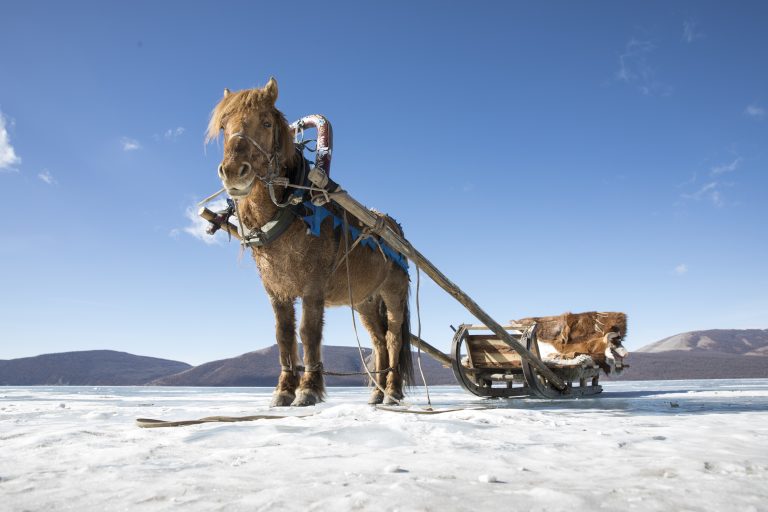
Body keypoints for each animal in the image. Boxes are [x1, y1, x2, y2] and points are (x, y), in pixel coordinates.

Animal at [206, 78, 412, 406]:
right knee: (378, 340)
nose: (233, 172)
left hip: (393, 292)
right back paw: (377, 394)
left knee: (393, 337)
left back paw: (392, 390)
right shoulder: (276, 291)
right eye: (224, 126)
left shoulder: (313, 286)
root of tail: (397, 230)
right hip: (365, 300)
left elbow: (308, 332)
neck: (291, 209)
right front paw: (283, 389)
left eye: (266, 122)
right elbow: (284, 335)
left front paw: (308, 389)